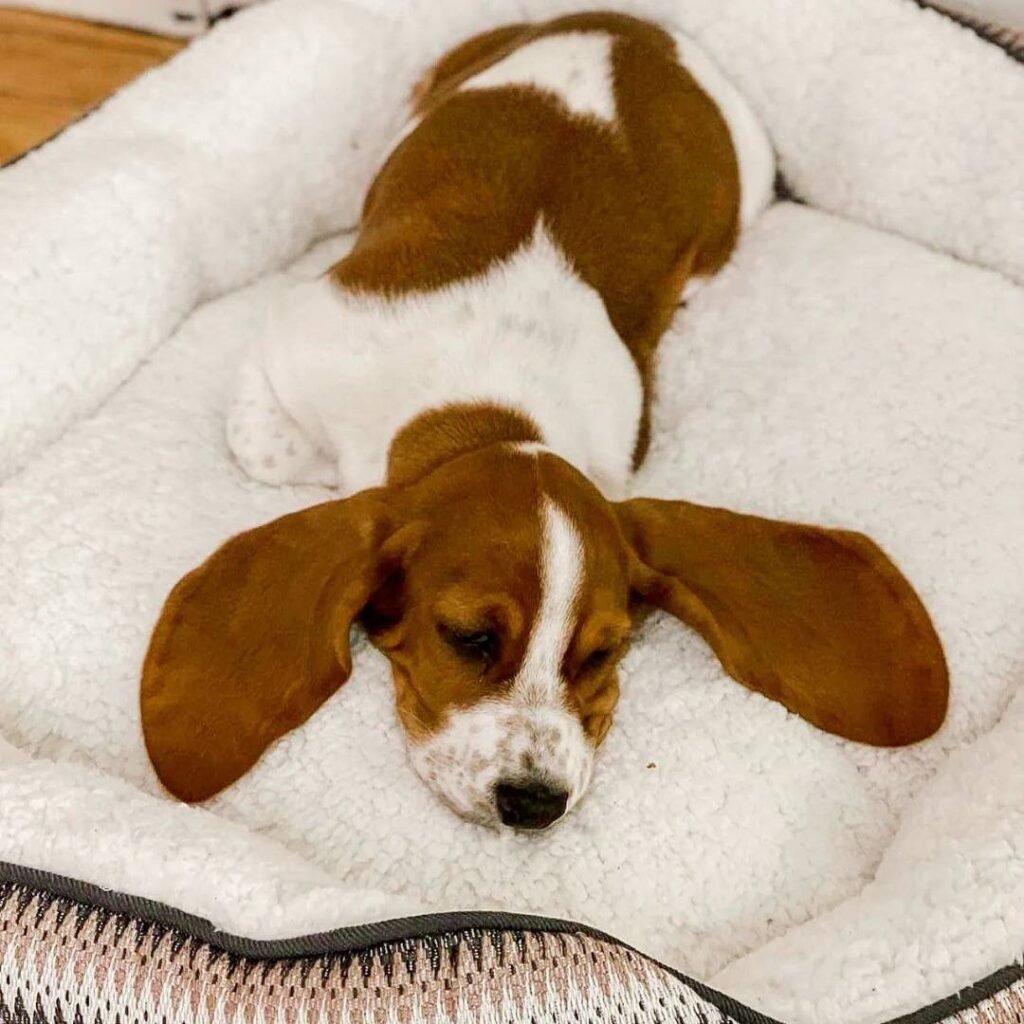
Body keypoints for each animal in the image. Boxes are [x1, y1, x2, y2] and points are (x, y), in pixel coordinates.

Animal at [141, 12, 948, 830]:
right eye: (469, 638)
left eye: (599, 654)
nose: (533, 802)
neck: (489, 411)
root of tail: (632, 27)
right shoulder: (292, 337)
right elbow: (264, 446)